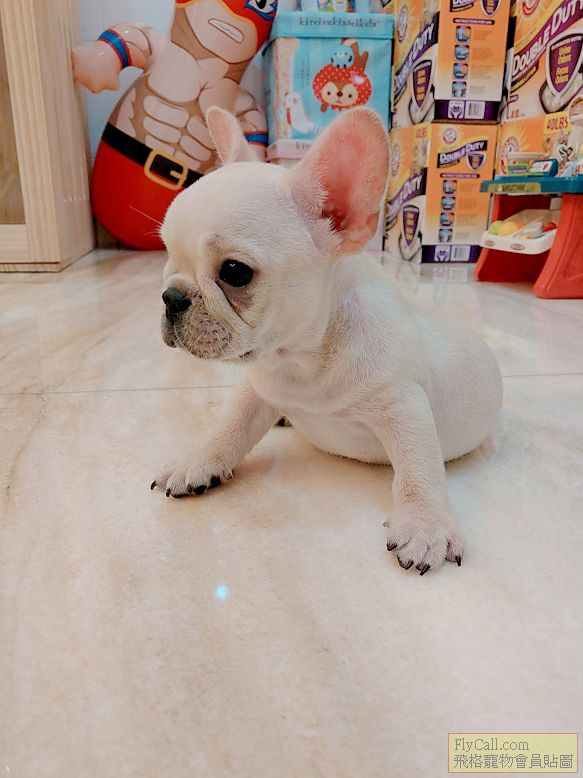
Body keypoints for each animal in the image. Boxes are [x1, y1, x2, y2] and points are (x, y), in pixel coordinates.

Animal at [152, 107, 503, 575]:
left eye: (235, 272)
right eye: (168, 254)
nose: (171, 297)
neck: (302, 358)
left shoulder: (404, 404)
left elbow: (418, 469)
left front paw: (425, 524)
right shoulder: (256, 387)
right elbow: (230, 426)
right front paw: (198, 460)